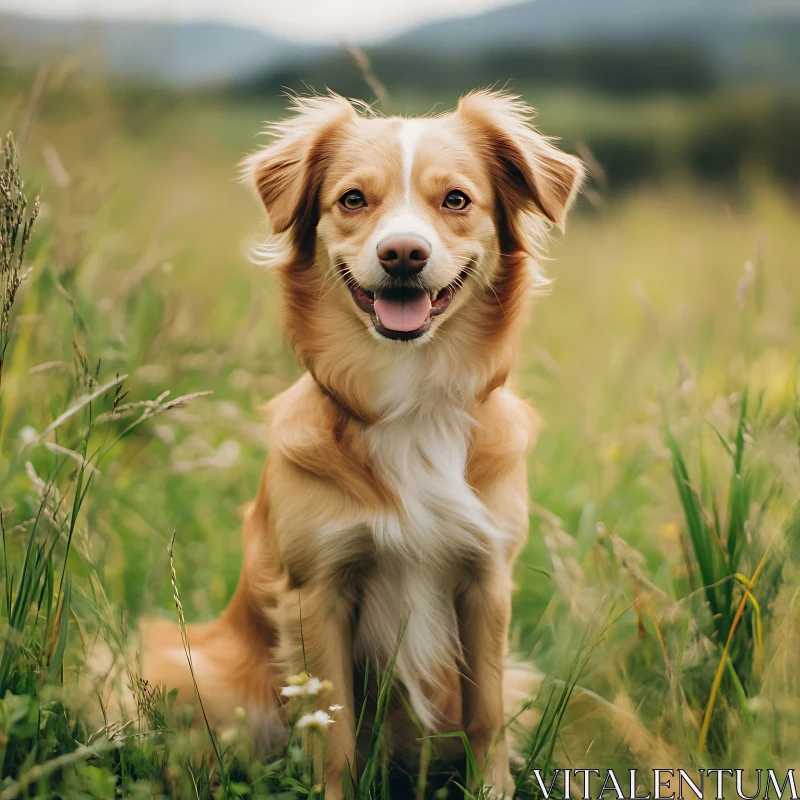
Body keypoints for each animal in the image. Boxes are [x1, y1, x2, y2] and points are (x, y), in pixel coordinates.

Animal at [136, 90, 588, 796]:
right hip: (198, 672)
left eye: (456, 199)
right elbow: (335, 732)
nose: (402, 253)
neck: (408, 398)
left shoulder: (487, 578)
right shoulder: (317, 589)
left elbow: (485, 715)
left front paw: (492, 787)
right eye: (352, 199)